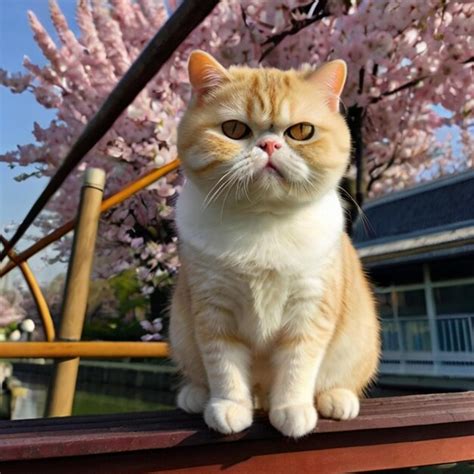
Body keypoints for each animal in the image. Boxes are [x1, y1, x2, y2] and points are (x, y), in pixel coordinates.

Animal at [168, 51, 380, 436]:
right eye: (234, 130)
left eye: (301, 131)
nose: (269, 145)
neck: (263, 221)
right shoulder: (213, 307)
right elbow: (223, 364)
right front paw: (230, 407)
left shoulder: (310, 307)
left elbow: (298, 363)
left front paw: (293, 408)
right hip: (180, 331)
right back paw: (197, 395)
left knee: (340, 380)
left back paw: (336, 399)